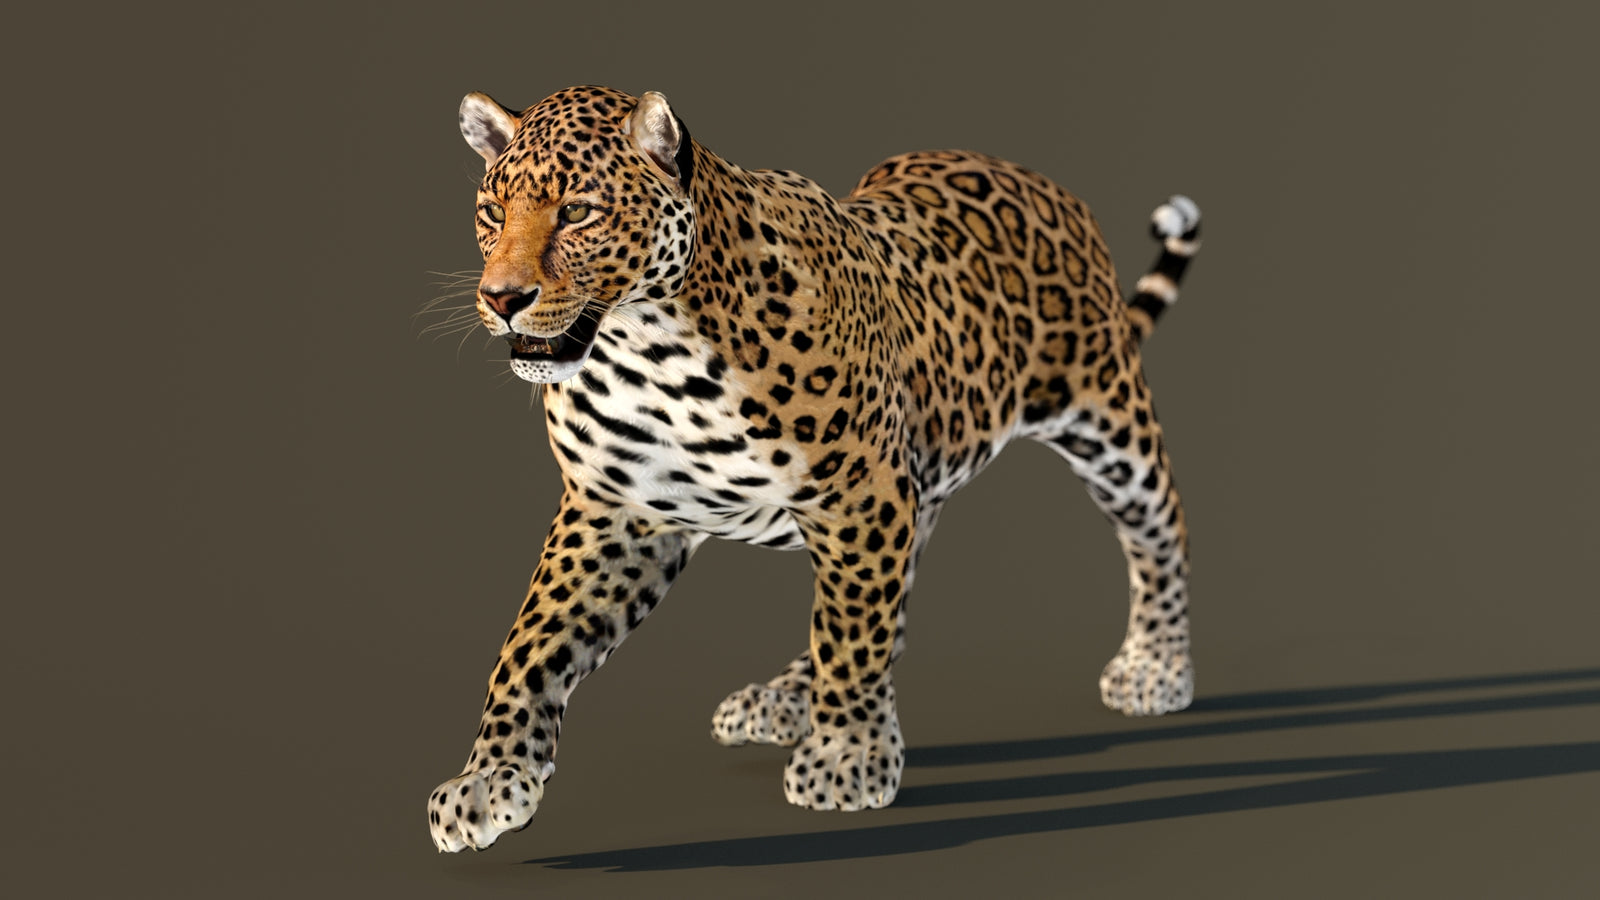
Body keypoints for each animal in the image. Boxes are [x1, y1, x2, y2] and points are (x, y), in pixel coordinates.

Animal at [427, 85, 1202, 852]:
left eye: (579, 211)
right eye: (493, 212)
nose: (502, 298)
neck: (649, 350)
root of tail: (1036, 177)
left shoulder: (859, 495)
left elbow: (852, 634)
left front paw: (847, 757)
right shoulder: (616, 511)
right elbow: (531, 642)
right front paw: (489, 780)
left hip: (1106, 416)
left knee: (1160, 533)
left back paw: (1156, 667)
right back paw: (786, 697)